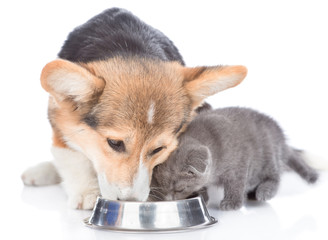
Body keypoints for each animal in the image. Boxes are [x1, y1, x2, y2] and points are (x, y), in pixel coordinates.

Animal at [21, 8, 246, 209]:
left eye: (158, 149)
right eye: (114, 143)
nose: (129, 201)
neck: (130, 49)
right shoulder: (60, 118)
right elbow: (73, 156)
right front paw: (87, 191)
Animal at [150, 107, 320, 210]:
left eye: (179, 189)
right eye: (162, 186)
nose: (169, 200)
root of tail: (282, 139)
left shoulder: (239, 164)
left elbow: (236, 184)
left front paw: (232, 203)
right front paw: (203, 194)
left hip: (268, 155)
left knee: (274, 177)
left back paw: (264, 191)